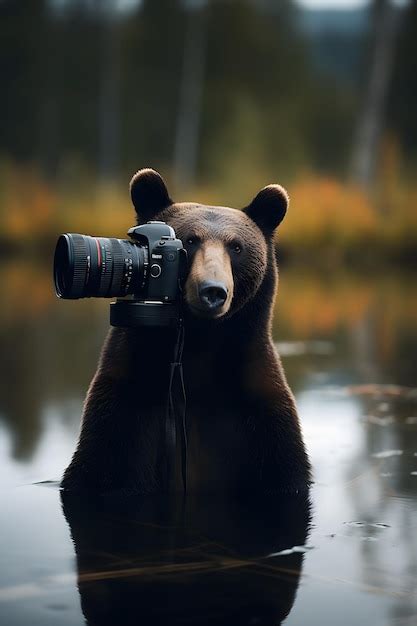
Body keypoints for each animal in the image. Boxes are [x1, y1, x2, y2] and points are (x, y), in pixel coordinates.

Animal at [61, 167, 308, 492]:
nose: (212, 291)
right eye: (190, 241)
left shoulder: (260, 414)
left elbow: (285, 468)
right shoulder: (124, 407)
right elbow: (100, 466)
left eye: (236, 246)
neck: (198, 344)